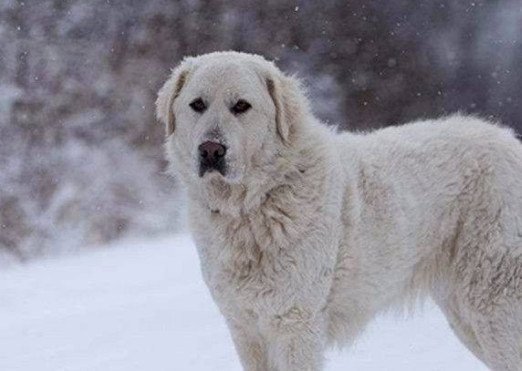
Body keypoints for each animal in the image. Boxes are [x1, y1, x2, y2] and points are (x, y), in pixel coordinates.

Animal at [156, 50, 520, 370]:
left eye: (241, 106)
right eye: (197, 105)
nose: (210, 150)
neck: (256, 203)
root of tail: (511, 143)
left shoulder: (295, 325)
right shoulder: (246, 329)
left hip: (492, 307)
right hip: (465, 316)